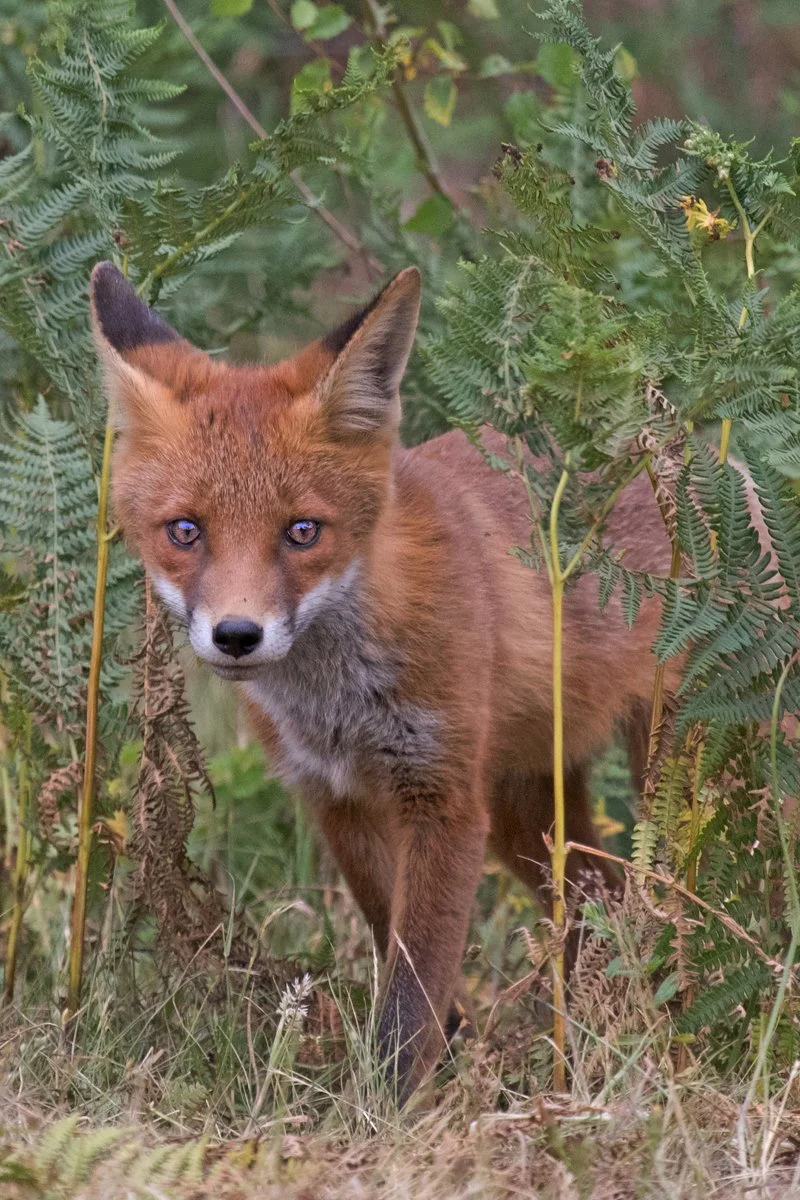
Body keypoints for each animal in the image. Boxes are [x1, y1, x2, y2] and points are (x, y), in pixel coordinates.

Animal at [90, 259, 684, 1101]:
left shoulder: (442, 800)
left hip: (663, 774)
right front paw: (445, 1057)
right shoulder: (336, 797)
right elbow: (395, 949)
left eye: (302, 531)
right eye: (185, 531)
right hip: (523, 813)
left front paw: (390, 1105)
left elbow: (412, 987)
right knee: (600, 901)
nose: (237, 635)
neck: (339, 701)